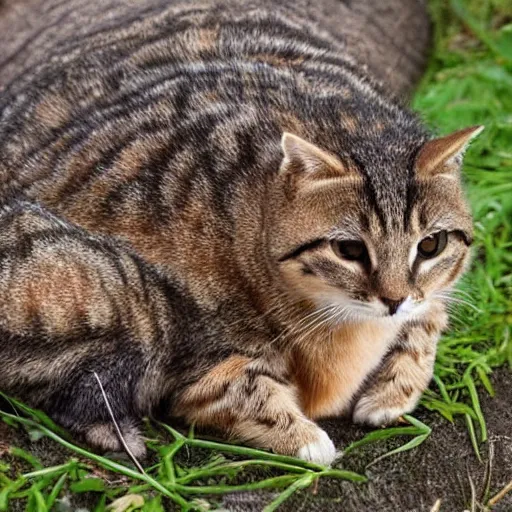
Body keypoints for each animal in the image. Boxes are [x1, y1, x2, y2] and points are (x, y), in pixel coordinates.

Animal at [0, 0, 480, 464]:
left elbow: (430, 317)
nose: (394, 299)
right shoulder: (189, 357)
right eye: (348, 249)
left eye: (431, 244)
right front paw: (309, 439)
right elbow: (239, 390)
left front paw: (391, 389)